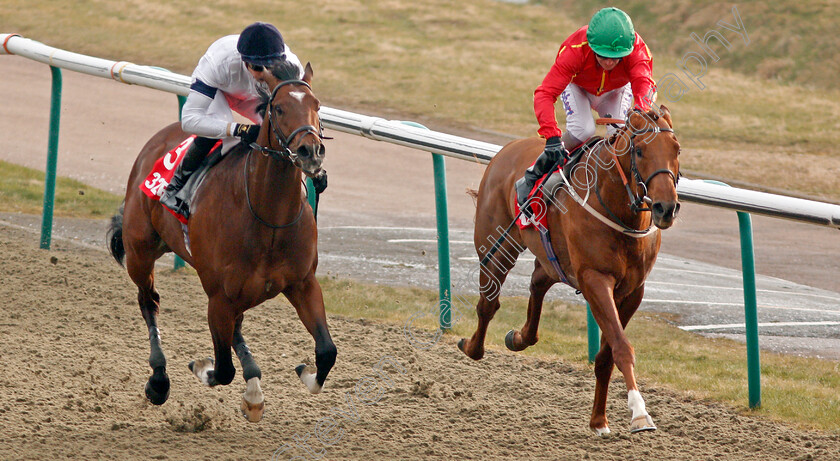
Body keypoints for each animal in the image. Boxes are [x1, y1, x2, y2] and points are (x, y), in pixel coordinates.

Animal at [106, 60, 336, 420]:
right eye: (280, 108)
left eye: (317, 106)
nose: (310, 151)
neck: (268, 216)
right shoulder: (218, 297)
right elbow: (224, 368)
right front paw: (203, 368)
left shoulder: (303, 283)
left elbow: (327, 350)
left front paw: (305, 372)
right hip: (140, 250)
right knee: (149, 301)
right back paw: (158, 380)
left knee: (236, 327)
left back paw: (253, 386)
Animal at [460, 106, 684, 434]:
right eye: (640, 150)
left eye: (676, 150)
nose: (665, 208)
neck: (619, 211)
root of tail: (508, 149)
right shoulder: (594, 279)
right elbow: (621, 346)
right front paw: (639, 413)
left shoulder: (633, 290)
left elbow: (606, 355)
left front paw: (599, 420)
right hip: (496, 247)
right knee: (488, 304)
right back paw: (472, 346)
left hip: (555, 261)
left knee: (537, 281)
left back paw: (520, 337)